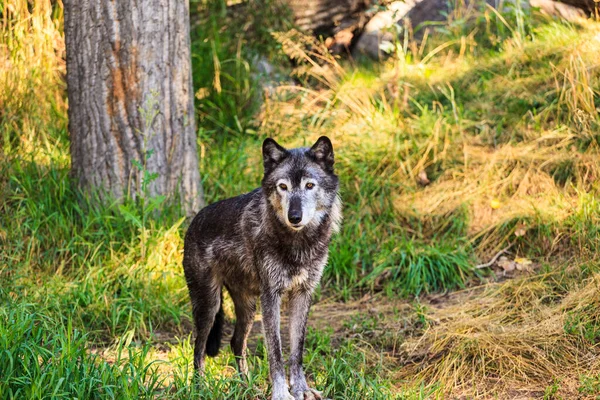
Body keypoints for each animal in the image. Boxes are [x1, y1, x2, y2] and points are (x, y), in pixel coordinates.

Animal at [183, 136, 340, 398]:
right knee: (199, 347)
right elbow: (275, 352)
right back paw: (200, 388)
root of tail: (194, 221)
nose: (294, 217)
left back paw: (246, 385)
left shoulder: (303, 294)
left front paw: (301, 389)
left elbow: (296, 351)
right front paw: (281, 393)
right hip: (209, 305)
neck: (298, 244)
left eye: (309, 185)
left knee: (236, 342)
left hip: (247, 306)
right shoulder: (271, 296)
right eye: (282, 187)